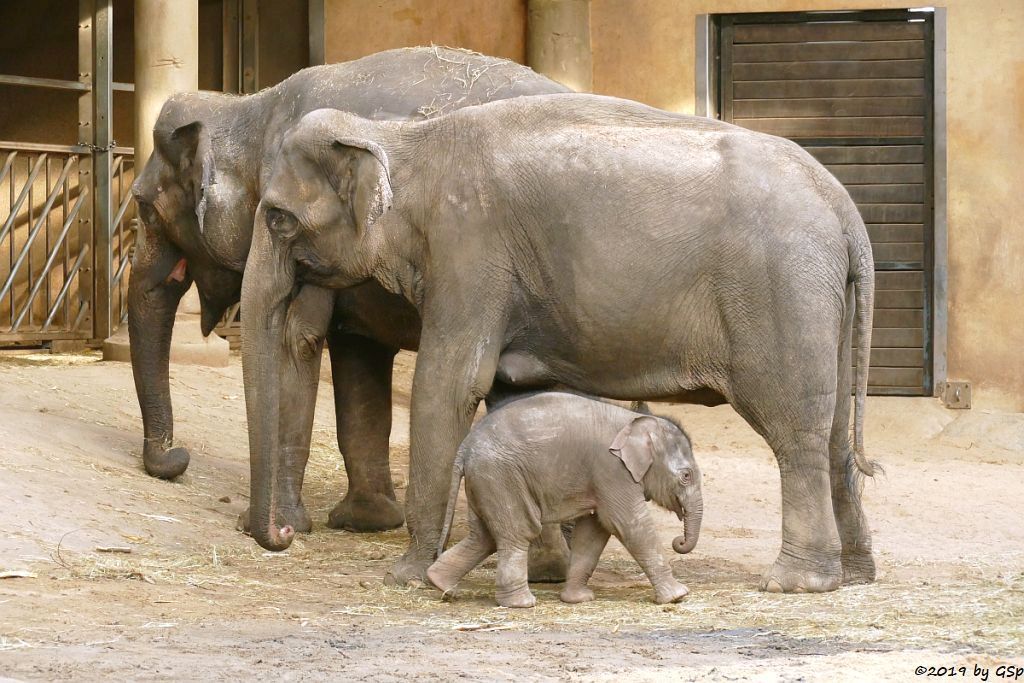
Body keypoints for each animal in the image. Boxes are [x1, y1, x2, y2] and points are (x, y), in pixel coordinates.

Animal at [128, 48, 569, 536]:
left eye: (146, 209)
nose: (177, 457)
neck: (249, 106)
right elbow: (360, 364)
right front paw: (367, 520)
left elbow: (294, 342)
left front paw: (282, 524)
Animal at [425, 389, 704, 610]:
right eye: (686, 476)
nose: (678, 542)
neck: (635, 422)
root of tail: (465, 446)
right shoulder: (612, 471)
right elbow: (629, 524)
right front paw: (678, 596)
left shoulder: (602, 479)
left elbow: (594, 531)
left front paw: (578, 599)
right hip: (500, 476)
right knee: (518, 532)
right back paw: (521, 603)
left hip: (485, 481)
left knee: (483, 537)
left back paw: (441, 585)